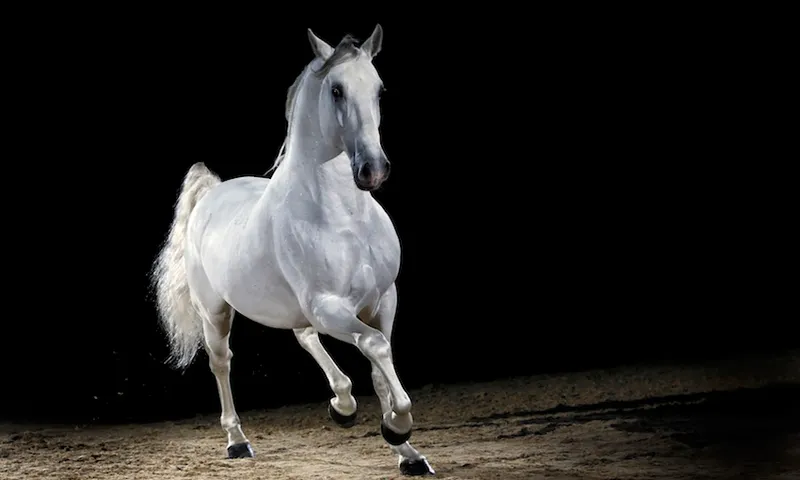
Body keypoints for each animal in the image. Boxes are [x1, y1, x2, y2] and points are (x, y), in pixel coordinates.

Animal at [151, 25, 435, 476]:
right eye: (336, 90)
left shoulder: (382, 299)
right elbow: (376, 347)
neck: (345, 219)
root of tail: (211, 194)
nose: (373, 170)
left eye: (379, 89)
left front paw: (408, 453)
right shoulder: (328, 305)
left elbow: (379, 366)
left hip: (299, 309)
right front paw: (398, 427)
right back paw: (237, 441)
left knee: (304, 337)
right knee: (221, 362)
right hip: (215, 312)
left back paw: (342, 405)